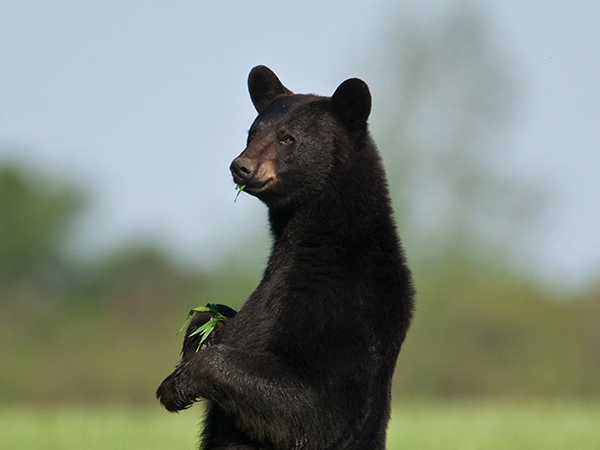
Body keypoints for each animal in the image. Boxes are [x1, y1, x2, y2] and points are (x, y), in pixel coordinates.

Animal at [157, 64, 414, 450]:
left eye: (287, 139)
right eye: (252, 132)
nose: (241, 166)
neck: (319, 239)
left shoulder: (346, 306)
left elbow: (314, 405)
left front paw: (176, 385)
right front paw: (201, 330)